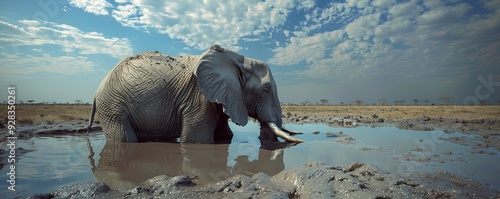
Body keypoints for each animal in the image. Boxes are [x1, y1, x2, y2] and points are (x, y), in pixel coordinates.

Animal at [86, 44, 302, 143]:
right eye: (265, 90)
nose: (301, 138)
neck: (237, 59)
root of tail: (96, 92)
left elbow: (226, 135)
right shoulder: (198, 97)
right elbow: (197, 141)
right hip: (113, 106)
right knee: (125, 139)